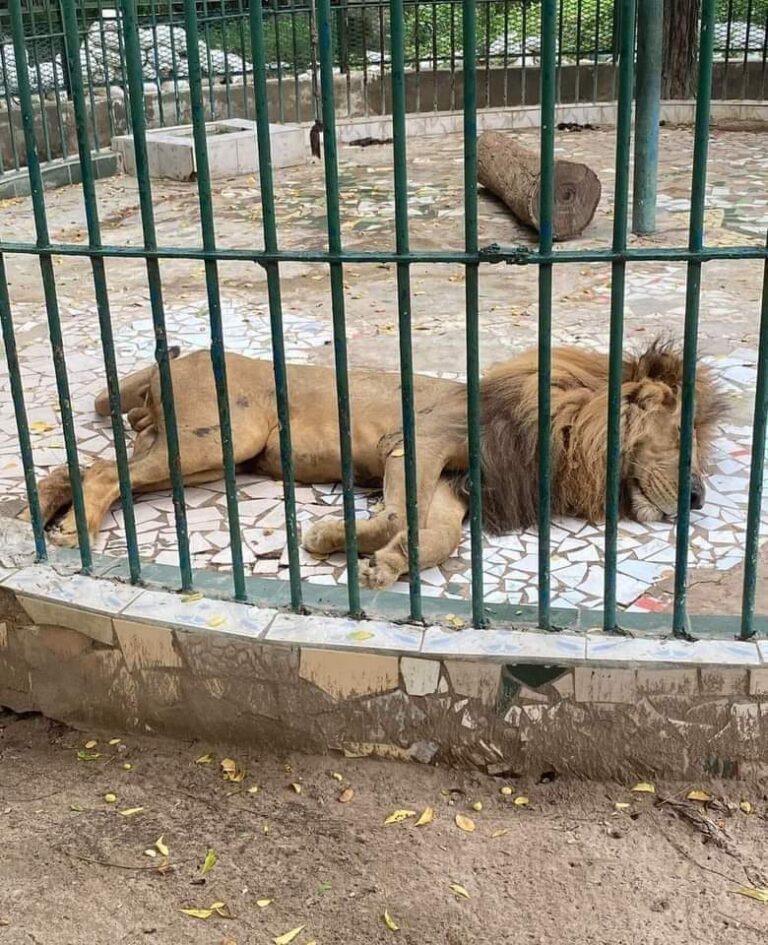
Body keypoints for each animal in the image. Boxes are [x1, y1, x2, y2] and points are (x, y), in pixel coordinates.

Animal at [22, 340, 720, 588]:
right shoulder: (417, 442)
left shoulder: (454, 489)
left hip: (207, 458)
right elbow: (400, 513)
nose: (699, 499)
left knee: (83, 469)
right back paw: (72, 529)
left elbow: (436, 536)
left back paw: (46, 508)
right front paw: (346, 542)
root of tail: (176, 359)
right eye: (679, 438)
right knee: (104, 473)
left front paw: (372, 555)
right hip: (219, 436)